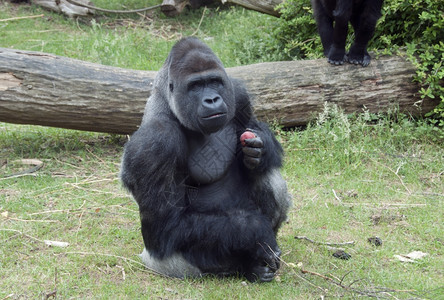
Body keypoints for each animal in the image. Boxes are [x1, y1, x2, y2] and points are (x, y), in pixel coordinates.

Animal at [119, 37, 292, 284]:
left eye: (214, 82)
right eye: (195, 86)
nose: (211, 99)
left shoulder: (238, 93)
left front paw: (261, 150)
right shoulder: (155, 142)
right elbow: (167, 227)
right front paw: (254, 229)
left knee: (270, 178)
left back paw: (255, 267)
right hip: (160, 261)